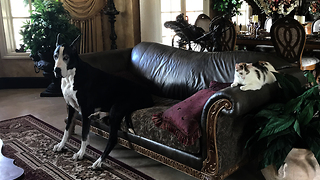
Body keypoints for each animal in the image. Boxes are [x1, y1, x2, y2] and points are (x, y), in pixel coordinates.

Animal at [51, 34, 154, 168]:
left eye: (66, 58)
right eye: (55, 56)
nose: (56, 70)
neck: (71, 77)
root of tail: (149, 97)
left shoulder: (85, 109)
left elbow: (84, 134)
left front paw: (80, 153)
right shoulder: (71, 107)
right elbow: (67, 130)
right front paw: (61, 145)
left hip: (117, 107)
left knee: (113, 138)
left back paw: (99, 161)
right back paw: (97, 115)